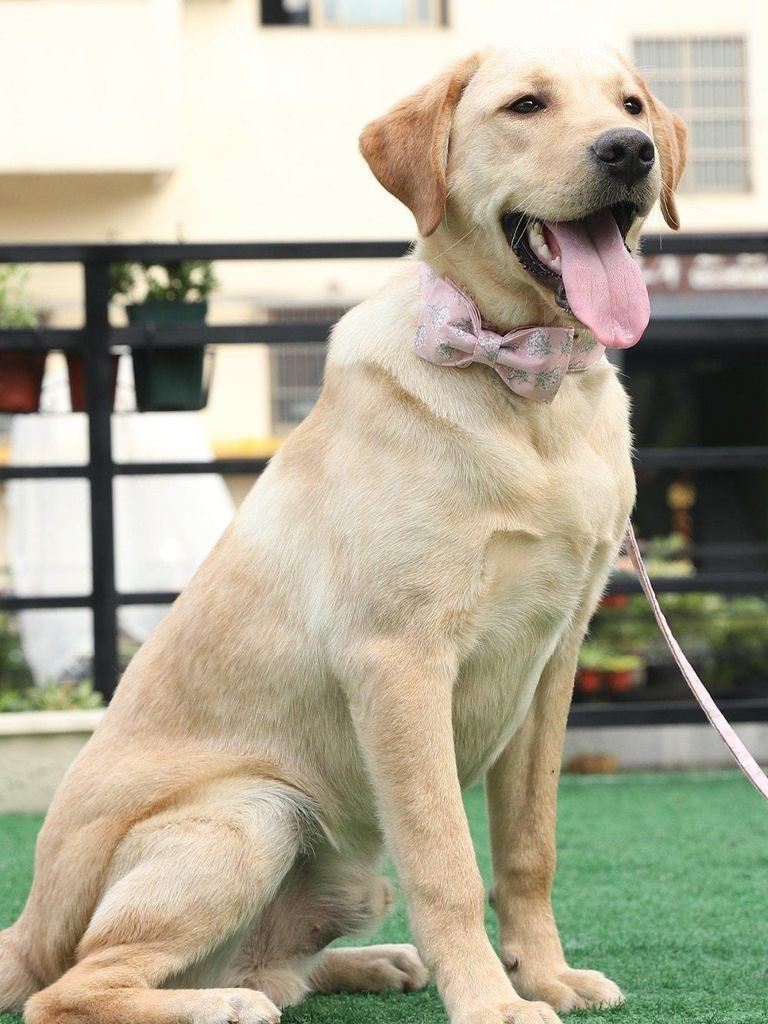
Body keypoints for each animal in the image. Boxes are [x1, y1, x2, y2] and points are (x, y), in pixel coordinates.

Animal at [0, 44, 684, 1024]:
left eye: (631, 105)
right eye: (526, 105)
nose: (630, 151)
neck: (527, 388)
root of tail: (27, 926)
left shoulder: (554, 661)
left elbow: (528, 847)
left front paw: (546, 976)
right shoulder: (398, 661)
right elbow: (447, 860)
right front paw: (493, 1000)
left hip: (347, 874)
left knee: (269, 966)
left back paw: (369, 963)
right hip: (252, 811)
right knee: (72, 990)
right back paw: (221, 1006)